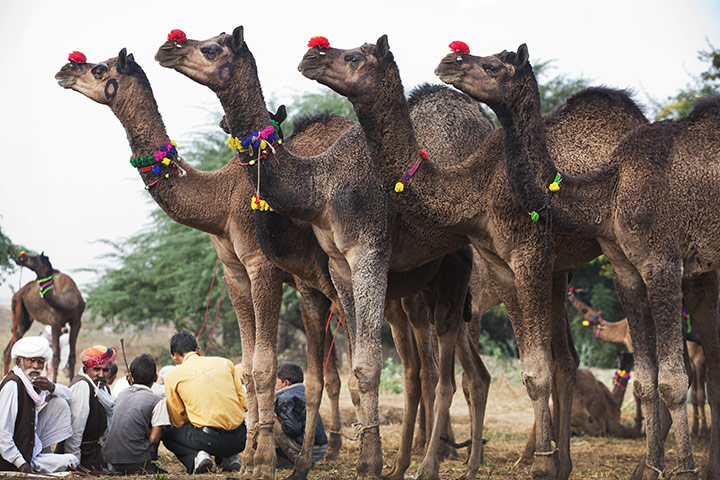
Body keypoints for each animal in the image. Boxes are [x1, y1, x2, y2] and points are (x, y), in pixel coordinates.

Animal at [4, 252, 83, 382]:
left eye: (35, 259)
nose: (20, 257)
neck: (70, 301)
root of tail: (16, 294)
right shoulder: (55, 322)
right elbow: (56, 358)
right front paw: (54, 383)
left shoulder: (76, 321)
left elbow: (72, 357)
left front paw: (72, 381)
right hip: (19, 310)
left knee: (8, 350)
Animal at [155, 27, 495, 480]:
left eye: (210, 48)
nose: (167, 48)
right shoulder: (310, 281)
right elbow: (315, 376)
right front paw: (299, 461)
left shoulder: (317, 267)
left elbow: (344, 369)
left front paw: (279, 459)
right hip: (413, 295)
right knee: (427, 369)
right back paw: (420, 458)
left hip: (457, 277)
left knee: (456, 372)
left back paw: (444, 461)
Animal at [298, 35, 648, 480]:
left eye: (354, 56)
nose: (311, 54)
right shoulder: (502, 268)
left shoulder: (515, 266)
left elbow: (480, 374)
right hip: (559, 272)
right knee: (567, 359)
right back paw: (558, 460)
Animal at [440, 42, 720, 479]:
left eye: (492, 65)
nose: (447, 62)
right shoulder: (621, 270)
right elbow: (643, 379)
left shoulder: (659, 263)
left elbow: (673, 379)